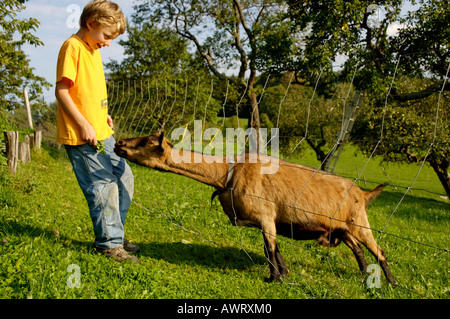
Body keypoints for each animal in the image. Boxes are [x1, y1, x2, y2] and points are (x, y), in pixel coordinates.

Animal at [114, 132, 396, 284]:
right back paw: (365, 275)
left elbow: (269, 248)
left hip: (359, 222)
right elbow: (272, 248)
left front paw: (275, 278)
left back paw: (391, 282)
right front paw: (283, 273)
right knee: (358, 250)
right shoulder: (267, 221)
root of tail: (362, 192)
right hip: (344, 229)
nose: (119, 144)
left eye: (146, 142)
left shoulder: (266, 216)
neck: (229, 172)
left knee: (379, 250)